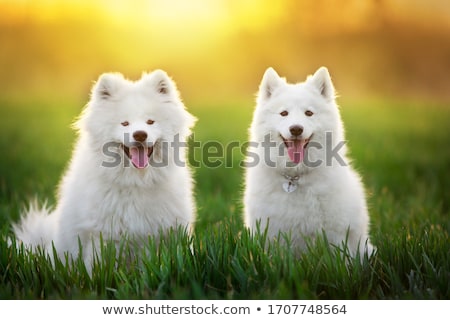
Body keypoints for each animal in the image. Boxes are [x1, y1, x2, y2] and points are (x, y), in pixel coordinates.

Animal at [13, 69, 197, 264]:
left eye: (150, 121)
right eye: (124, 123)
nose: (140, 134)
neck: (136, 181)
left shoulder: (165, 232)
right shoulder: (103, 234)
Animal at [244, 67, 374, 258]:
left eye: (309, 113)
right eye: (284, 113)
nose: (296, 129)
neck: (295, 177)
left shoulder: (335, 234)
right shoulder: (270, 232)